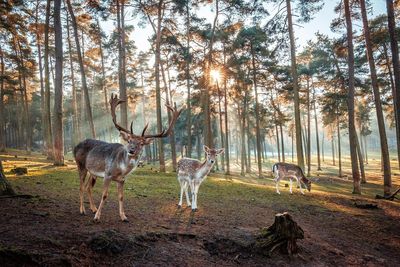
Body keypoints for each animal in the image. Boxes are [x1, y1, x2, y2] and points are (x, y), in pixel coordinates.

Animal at [73, 94, 183, 222]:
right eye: (129, 140)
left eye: (141, 143)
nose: (131, 150)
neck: (122, 169)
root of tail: (76, 146)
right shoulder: (107, 174)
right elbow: (104, 195)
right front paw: (97, 217)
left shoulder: (122, 179)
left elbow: (121, 197)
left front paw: (123, 216)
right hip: (80, 165)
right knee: (81, 187)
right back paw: (82, 210)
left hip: (93, 172)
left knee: (88, 187)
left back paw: (93, 208)